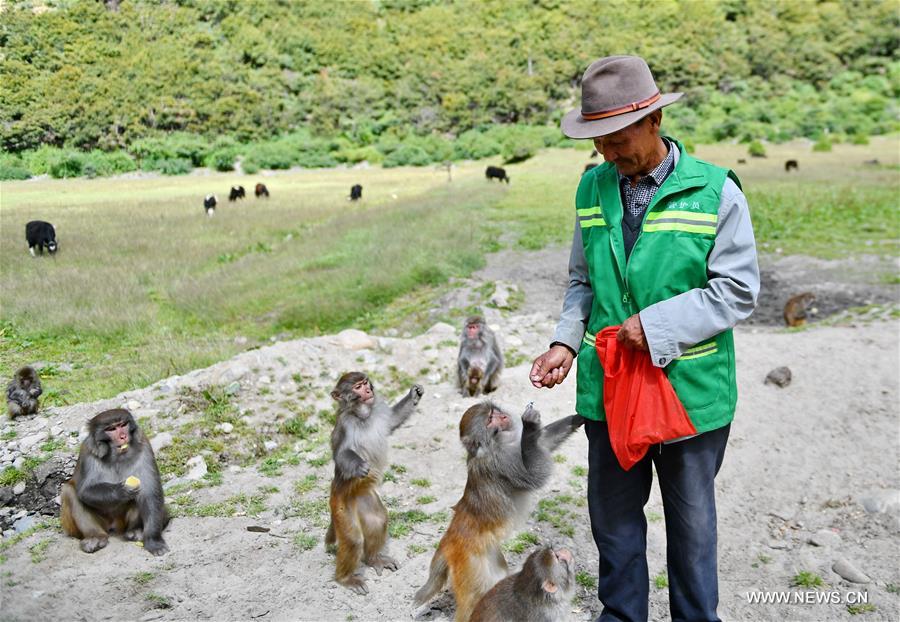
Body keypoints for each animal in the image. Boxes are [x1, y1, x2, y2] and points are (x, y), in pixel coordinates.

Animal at [62, 410, 171, 556]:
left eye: (123, 425)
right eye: (111, 429)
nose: (123, 436)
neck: (117, 456)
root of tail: (114, 526)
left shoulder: (144, 445)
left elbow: (149, 492)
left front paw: (153, 540)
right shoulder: (88, 451)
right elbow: (85, 490)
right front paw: (121, 491)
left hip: (122, 522)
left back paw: (135, 530)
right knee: (70, 491)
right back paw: (96, 537)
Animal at [326, 372, 424, 596]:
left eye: (364, 383)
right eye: (357, 387)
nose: (368, 390)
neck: (363, 415)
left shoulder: (378, 411)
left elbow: (393, 420)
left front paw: (414, 394)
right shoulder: (344, 424)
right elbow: (341, 454)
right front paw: (360, 466)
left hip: (365, 498)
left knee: (377, 521)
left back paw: (373, 559)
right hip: (340, 506)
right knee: (353, 540)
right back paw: (344, 578)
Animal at [414, 402, 584, 620]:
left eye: (494, 412)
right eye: (489, 420)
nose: (502, 417)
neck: (497, 443)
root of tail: (449, 540)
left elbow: (544, 441)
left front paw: (578, 417)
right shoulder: (502, 462)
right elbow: (534, 474)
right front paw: (530, 426)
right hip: (470, 567)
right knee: (473, 599)